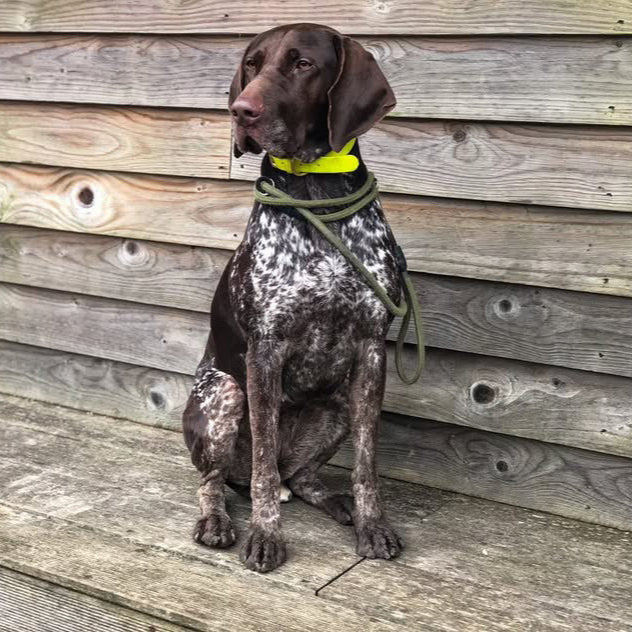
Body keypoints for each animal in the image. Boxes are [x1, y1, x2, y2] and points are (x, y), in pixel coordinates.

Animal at [181, 22, 404, 572]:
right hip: (224, 394)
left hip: (338, 403)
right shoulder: (265, 351)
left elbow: (366, 465)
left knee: (298, 477)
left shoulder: (371, 349)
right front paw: (265, 536)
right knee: (222, 480)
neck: (316, 193)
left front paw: (372, 525)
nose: (241, 111)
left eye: (303, 65)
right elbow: (261, 467)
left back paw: (338, 504)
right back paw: (217, 521)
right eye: (253, 64)